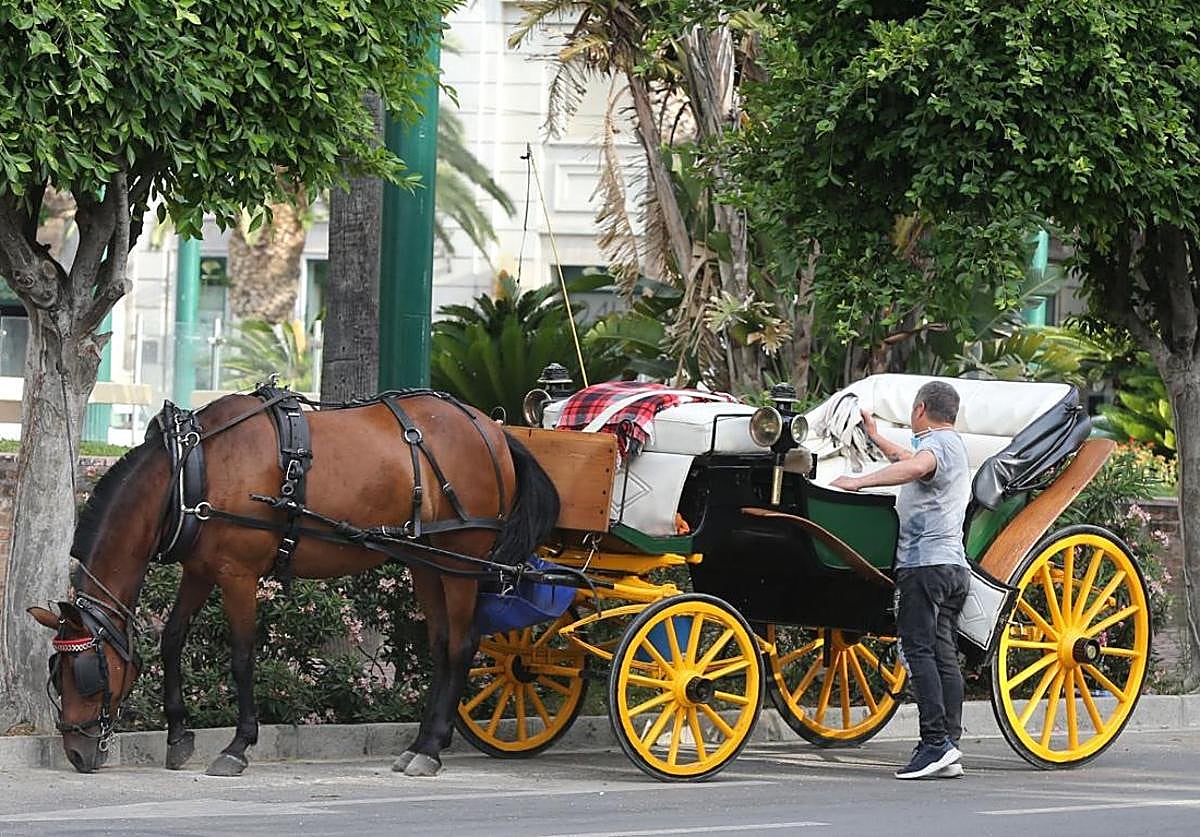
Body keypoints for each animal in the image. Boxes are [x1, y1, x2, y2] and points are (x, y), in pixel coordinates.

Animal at [26, 388, 559, 777]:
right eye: (57, 670)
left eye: (86, 673)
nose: (76, 753)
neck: (192, 472)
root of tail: (491, 429)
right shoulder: (200, 570)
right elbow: (172, 639)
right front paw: (178, 736)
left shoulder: (238, 575)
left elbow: (242, 658)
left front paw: (238, 745)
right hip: (428, 559)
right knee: (443, 643)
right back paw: (424, 742)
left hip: (463, 555)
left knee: (464, 643)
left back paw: (429, 749)